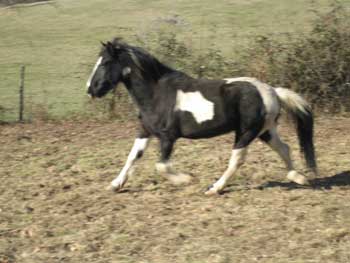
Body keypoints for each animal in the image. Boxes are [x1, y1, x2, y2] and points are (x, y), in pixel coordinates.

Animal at [85, 39, 318, 196]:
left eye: (105, 63)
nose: (90, 89)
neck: (156, 94)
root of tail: (272, 92)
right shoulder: (145, 131)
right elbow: (133, 157)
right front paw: (115, 184)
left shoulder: (168, 136)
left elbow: (161, 165)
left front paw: (187, 179)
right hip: (265, 131)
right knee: (284, 148)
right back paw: (299, 178)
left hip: (246, 132)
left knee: (237, 159)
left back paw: (214, 188)